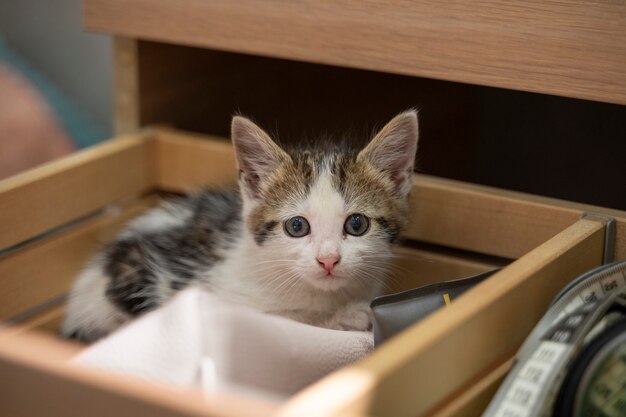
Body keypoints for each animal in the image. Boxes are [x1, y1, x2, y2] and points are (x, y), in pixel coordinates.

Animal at [61, 110, 416, 342]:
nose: (328, 260)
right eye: (297, 226)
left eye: (357, 224)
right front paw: (348, 315)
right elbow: (290, 320)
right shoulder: (223, 301)